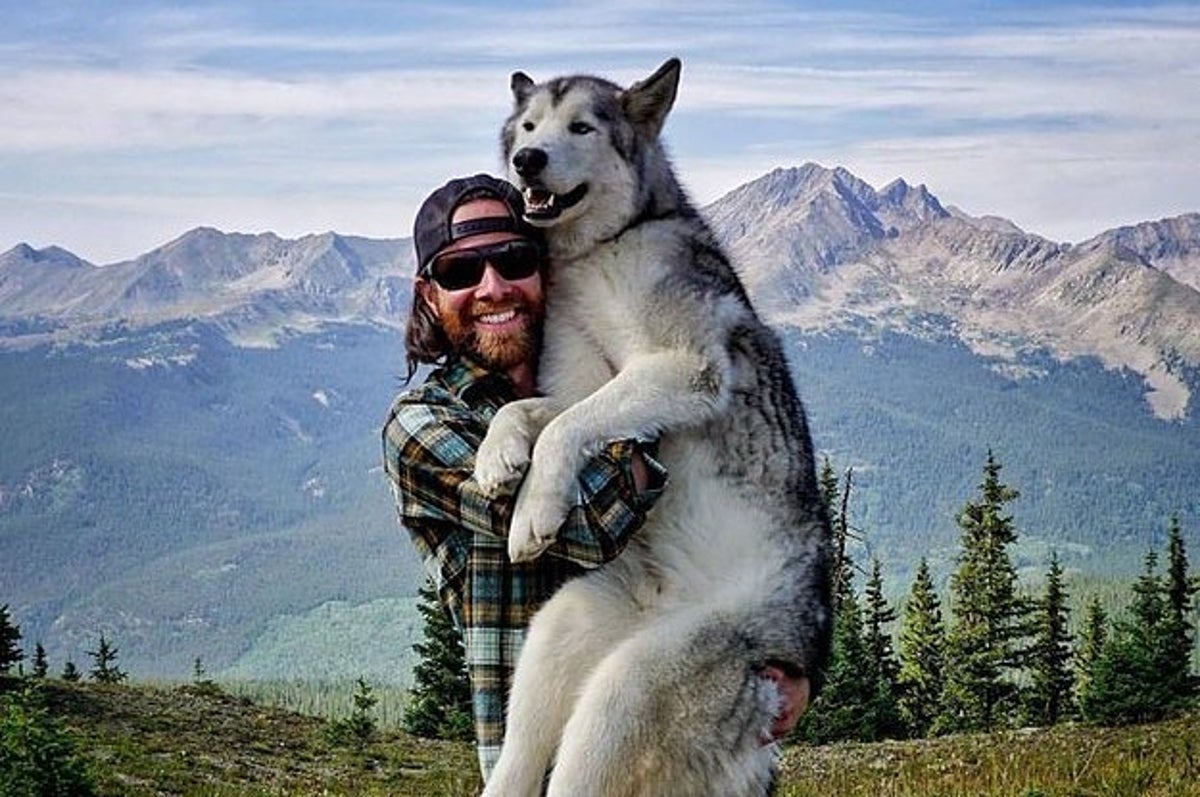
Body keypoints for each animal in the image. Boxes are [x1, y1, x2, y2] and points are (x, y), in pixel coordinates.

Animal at [470, 57, 835, 797]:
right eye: (529, 127)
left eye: (581, 127)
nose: (528, 160)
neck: (600, 252)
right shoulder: (582, 383)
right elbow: (530, 410)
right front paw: (496, 459)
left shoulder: (683, 369)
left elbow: (565, 427)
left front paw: (533, 512)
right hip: (569, 623)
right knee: (528, 734)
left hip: (634, 686)